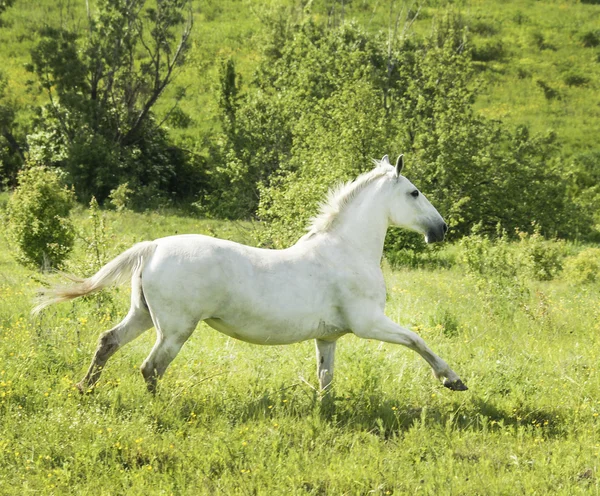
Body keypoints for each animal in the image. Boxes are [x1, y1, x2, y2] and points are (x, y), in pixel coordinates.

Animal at [35, 155, 468, 396]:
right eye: (414, 192)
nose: (441, 229)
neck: (346, 251)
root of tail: (153, 246)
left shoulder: (328, 338)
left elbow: (326, 380)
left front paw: (327, 416)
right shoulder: (370, 323)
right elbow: (417, 340)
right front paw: (453, 381)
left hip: (143, 315)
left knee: (108, 342)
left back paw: (85, 390)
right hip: (175, 329)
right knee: (150, 367)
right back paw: (159, 411)